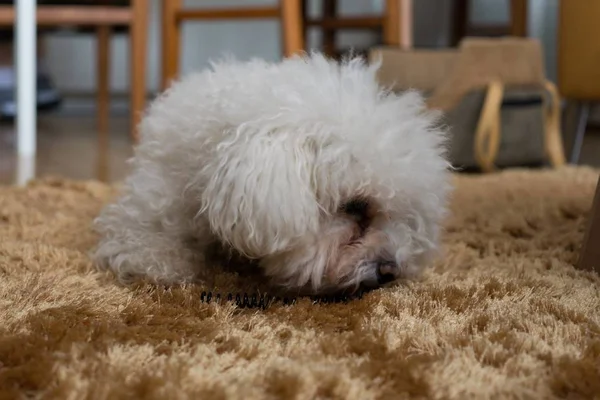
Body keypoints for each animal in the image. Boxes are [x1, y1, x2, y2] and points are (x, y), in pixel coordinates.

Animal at [92, 53, 450, 296]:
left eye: (403, 216)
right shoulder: (148, 210)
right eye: (354, 207)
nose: (390, 271)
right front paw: (170, 265)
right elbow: (145, 247)